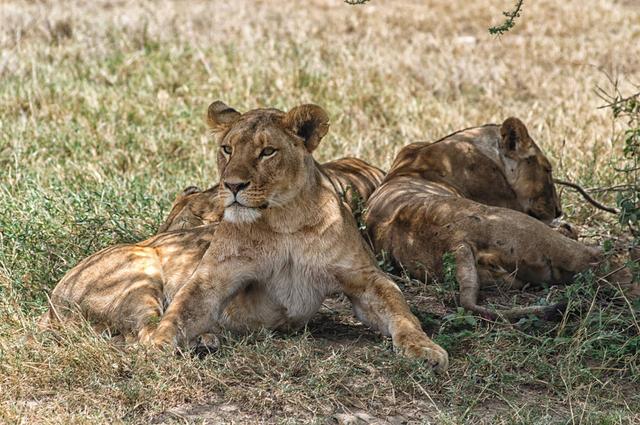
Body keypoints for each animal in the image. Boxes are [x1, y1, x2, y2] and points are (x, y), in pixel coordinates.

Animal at [362, 117, 604, 320]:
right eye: (547, 170)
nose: (558, 210)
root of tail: (455, 244)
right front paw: (565, 226)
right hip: (523, 228)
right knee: (586, 259)